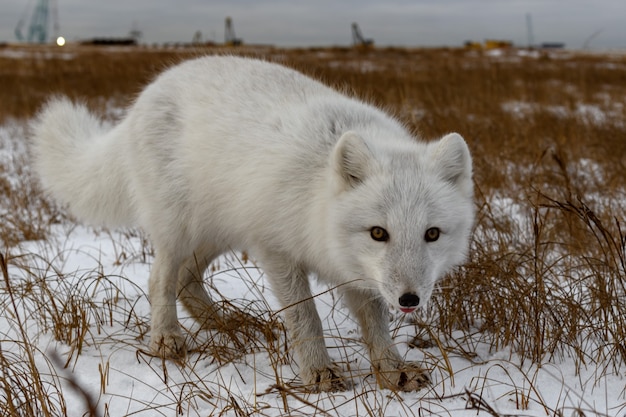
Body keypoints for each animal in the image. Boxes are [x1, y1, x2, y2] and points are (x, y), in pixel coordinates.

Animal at [31, 55, 472, 390]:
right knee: (161, 278)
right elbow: (305, 316)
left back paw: (228, 324)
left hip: (219, 229)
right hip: (179, 227)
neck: (315, 196)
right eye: (379, 233)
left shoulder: (354, 271)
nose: (410, 300)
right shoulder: (275, 249)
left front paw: (393, 370)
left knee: (188, 279)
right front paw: (318, 373)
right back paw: (167, 338)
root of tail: (147, 94)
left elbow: (375, 324)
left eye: (432, 234)